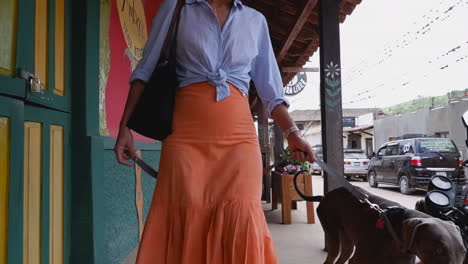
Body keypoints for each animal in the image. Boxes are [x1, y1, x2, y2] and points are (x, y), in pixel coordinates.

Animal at [298, 187, 466, 262]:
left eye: (464, 252)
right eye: (438, 251)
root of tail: (324, 196)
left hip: (346, 236)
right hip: (331, 229)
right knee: (333, 253)